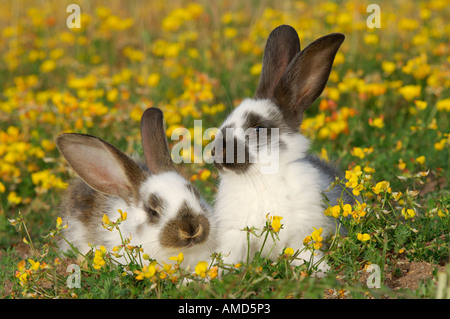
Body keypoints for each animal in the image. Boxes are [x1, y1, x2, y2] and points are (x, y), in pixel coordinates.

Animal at [211, 25, 352, 276]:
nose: (215, 154)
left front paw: (321, 270)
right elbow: (228, 256)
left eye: (258, 128)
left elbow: (302, 252)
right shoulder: (234, 235)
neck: (260, 178)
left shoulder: (302, 232)